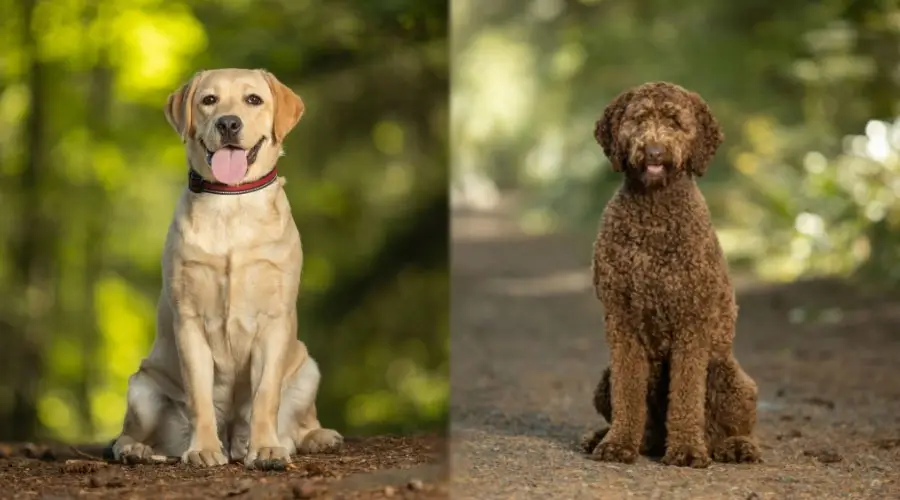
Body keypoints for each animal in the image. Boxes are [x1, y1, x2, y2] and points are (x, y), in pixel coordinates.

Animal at [110, 68, 342, 466]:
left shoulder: (274, 321)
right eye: (209, 100)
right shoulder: (189, 321)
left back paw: (316, 437)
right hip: (142, 387)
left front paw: (266, 448)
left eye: (253, 100)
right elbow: (199, 396)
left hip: (307, 369)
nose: (229, 123)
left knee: (300, 423)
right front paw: (203, 449)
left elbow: (266, 394)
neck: (231, 199)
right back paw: (136, 450)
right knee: (129, 433)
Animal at [584, 82, 760, 468]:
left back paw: (734, 446)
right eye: (638, 119)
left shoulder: (691, 323)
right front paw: (618, 444)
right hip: (605, 379)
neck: (654, 212)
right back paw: (609, 437)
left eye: (676, 123)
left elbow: (685, 393)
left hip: (728, 376)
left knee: (732, 426)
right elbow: (628, 392)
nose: (654, 150)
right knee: (641, 421)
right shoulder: (621, 320)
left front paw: (686, 450)